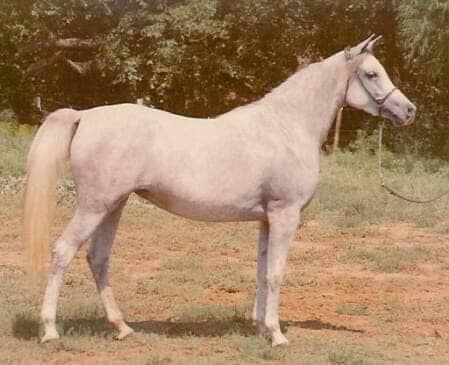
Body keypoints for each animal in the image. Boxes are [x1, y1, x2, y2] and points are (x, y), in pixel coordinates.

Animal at [23, 35, 412, 346]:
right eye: (372, 74)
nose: (409, 110)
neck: (286, 127)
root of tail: (85, 116)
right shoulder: (285, 215)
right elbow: (276, 273)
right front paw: (277, 336)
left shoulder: (266, 220)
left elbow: (261, 269)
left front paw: (261, 327)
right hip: (94, 207)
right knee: (63, 252)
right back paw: (50, 331)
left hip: (113, 206)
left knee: (98, 258)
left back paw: (122, 328)